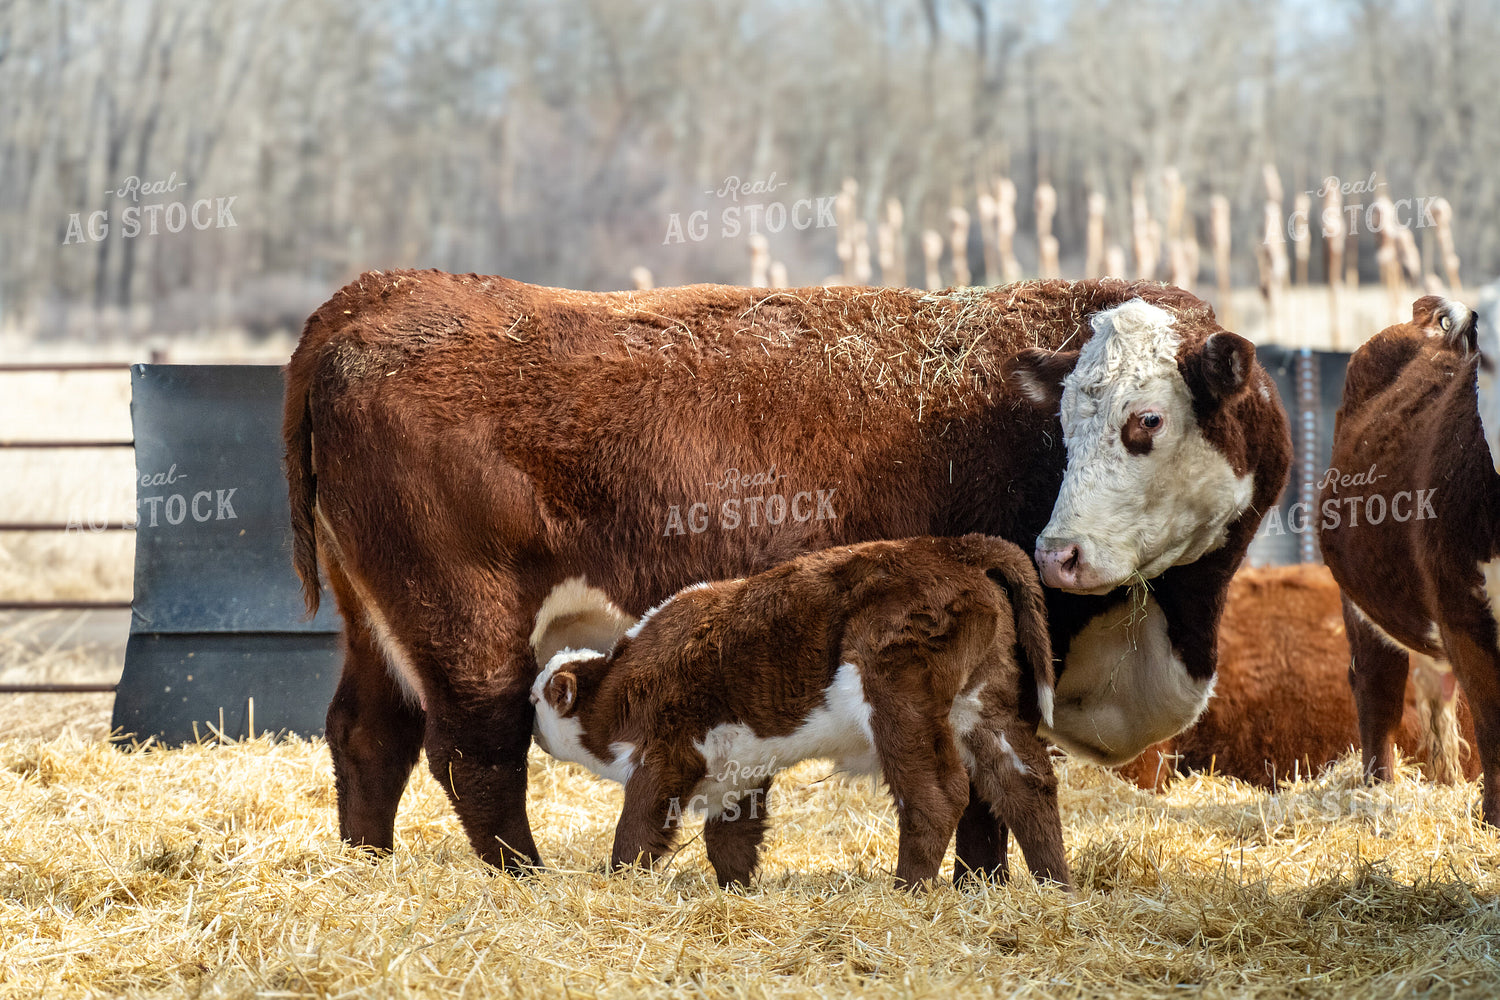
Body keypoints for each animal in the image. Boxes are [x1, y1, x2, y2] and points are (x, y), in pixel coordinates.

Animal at [526, 534, 1069, 890]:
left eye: (536, 700)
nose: (531, 728)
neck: (620, 689)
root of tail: (952, 547)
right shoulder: (738, 771)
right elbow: (730, 840)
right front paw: (736, 892)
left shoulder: (664, 756)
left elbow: (636, 829)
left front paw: (616, 881)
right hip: (984, 705)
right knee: (1026, 781)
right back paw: (1055, 886)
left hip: (899, 701)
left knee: (937, 795)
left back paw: (907, 891)